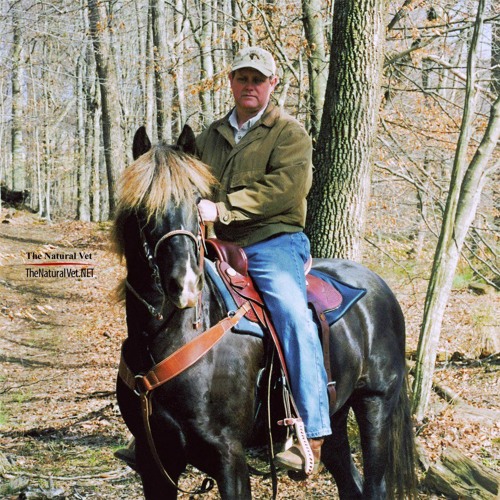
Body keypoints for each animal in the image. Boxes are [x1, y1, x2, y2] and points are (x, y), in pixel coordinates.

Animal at [114, 123, 418, 498]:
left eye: (197, 201)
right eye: (143, 206)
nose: (184, 283)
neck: (171, 337)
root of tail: (380, 287)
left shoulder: (229, 457)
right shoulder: (156, 462)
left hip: (376, 405)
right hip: (336, 419)